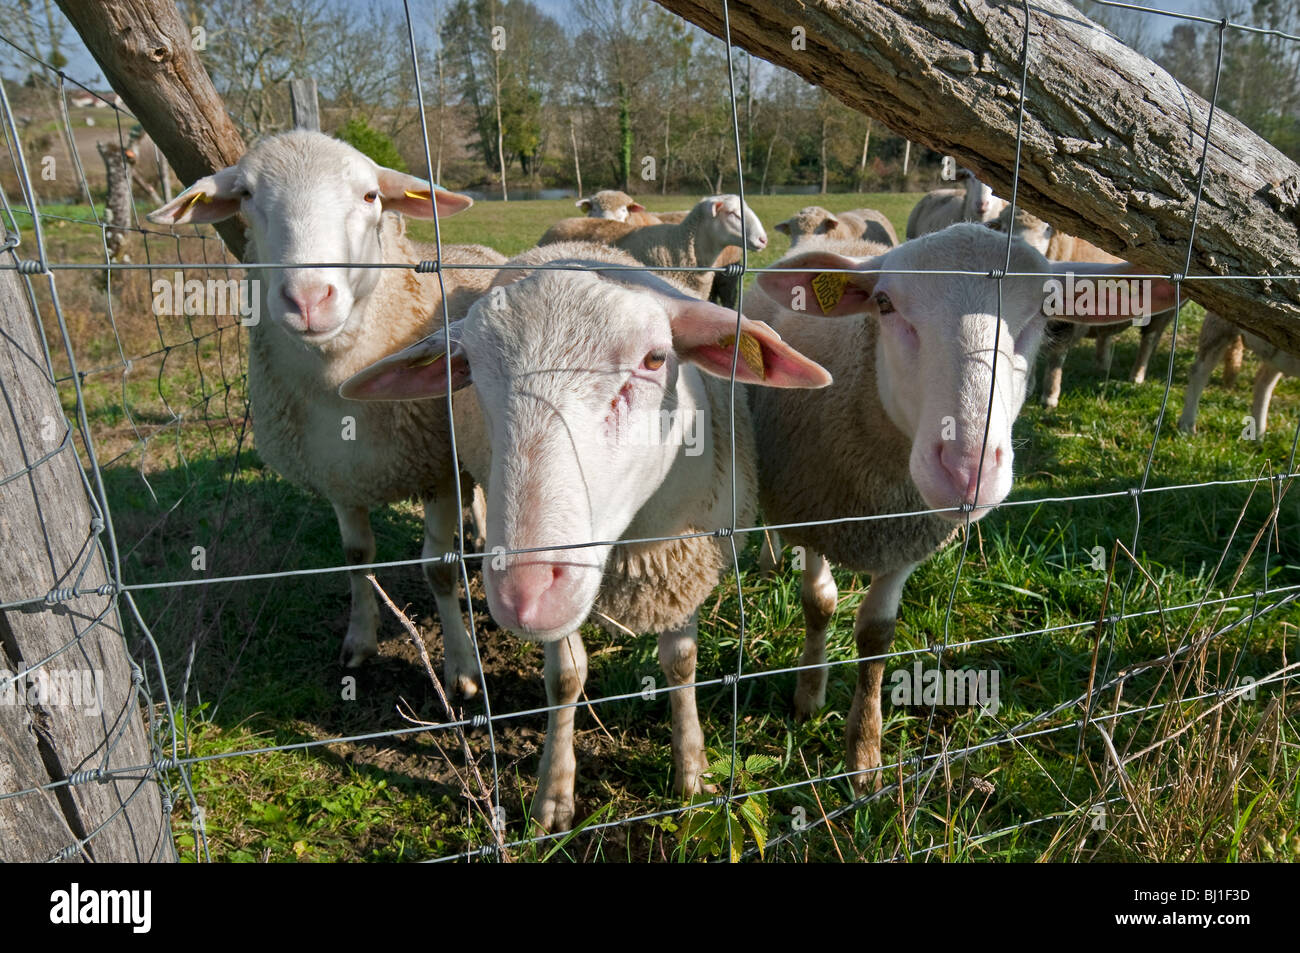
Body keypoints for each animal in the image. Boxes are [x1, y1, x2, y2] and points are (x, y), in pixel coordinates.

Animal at [146, 130, 504, 695]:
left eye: (371, 196)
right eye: (246, 195)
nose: (308, 298)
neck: (344, 392)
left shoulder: (435, 471)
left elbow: (438, 570)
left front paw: (462, 670)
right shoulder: (338, 474)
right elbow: (356, 559)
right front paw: (360, 640)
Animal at [339, 241, 830, 831]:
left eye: (655, 360)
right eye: (470, 371)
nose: (522, 591)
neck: (631, 543)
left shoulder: (681, 562)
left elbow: (681, 664)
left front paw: (692, 772)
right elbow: (566, 679)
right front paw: (553, 795)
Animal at [747, 225, 1176, 794]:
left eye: (1045, 311)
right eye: (883, 303)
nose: (966, 469)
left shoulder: (906, 533)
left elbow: (875, 635)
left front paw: (864, 757)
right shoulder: (812, 514)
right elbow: (819, 604)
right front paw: (809, 697)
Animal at [987, 206, 1177, 407]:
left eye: (1047, 228)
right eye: (1004, 226)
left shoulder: (1066, 323)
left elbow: (1056, 356)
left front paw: (1050, 396)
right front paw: (1028, 386)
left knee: (1149, 338)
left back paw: (1137, 375)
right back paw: (1103, 364)